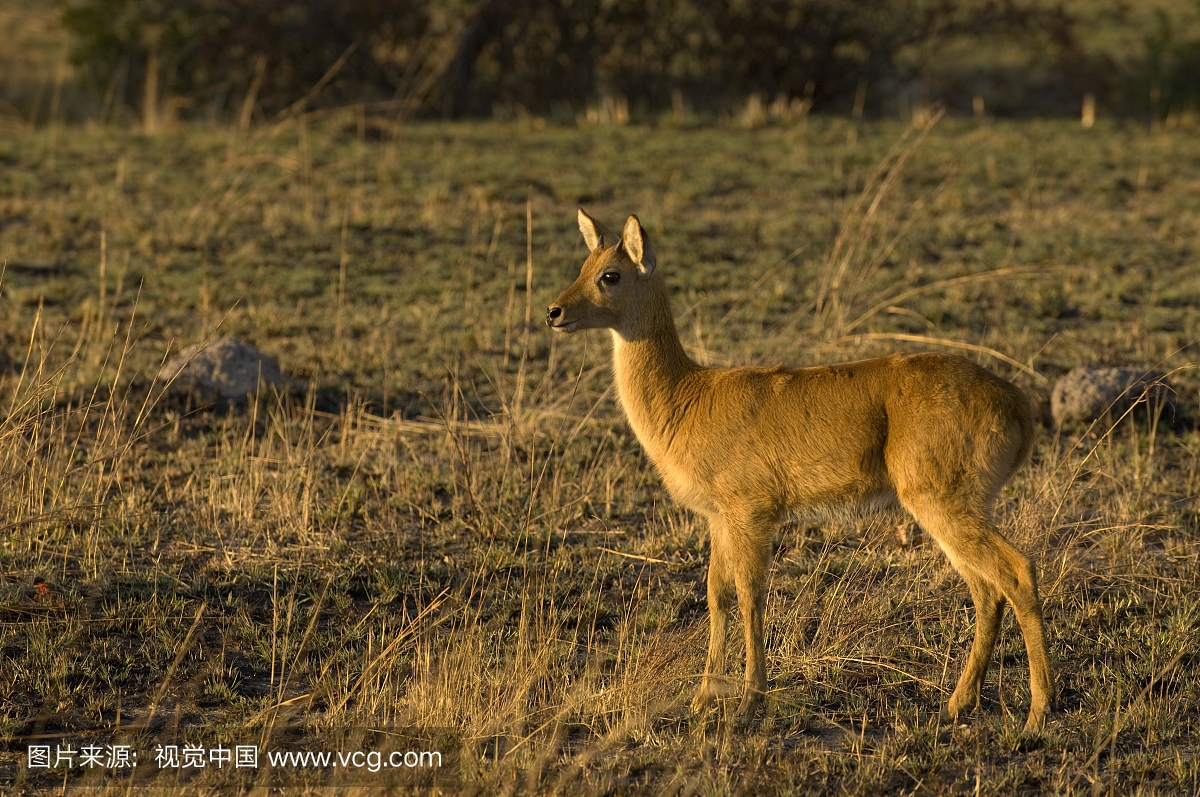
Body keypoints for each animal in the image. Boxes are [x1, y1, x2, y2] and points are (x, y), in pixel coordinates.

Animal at [549, 210, 1056, 729]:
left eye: (611, 275)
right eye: (584, 264)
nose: (554, 312)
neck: (686, 397)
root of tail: (1018, 405)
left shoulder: (752, 512)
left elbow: (751, 594)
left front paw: (749, 699)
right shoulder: (718, 518)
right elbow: (717, 594)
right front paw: (703, 696)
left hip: (942, 502)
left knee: (1018, 571)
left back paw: (1038, 711)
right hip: (955, 507)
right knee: (987, 588)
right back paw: (959, 702)